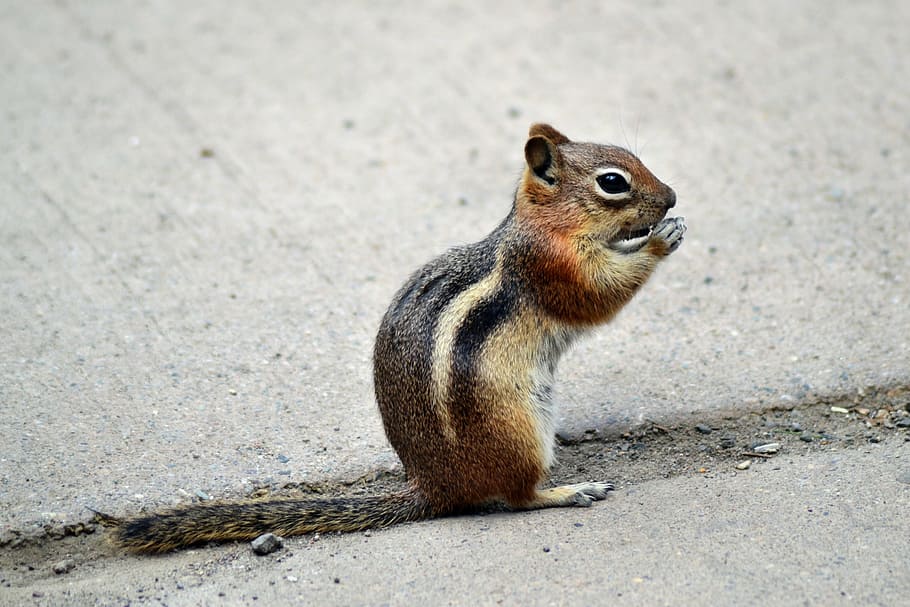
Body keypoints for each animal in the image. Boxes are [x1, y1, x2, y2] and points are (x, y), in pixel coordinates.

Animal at [106, 123, 685, 553]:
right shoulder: (553, 268)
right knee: (517, 497)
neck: (543, 225)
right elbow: (599, 294)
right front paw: (661, 240)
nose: (673, 196)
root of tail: (434, 486)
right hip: (518, 429)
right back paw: (568, 491)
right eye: (613, 182)